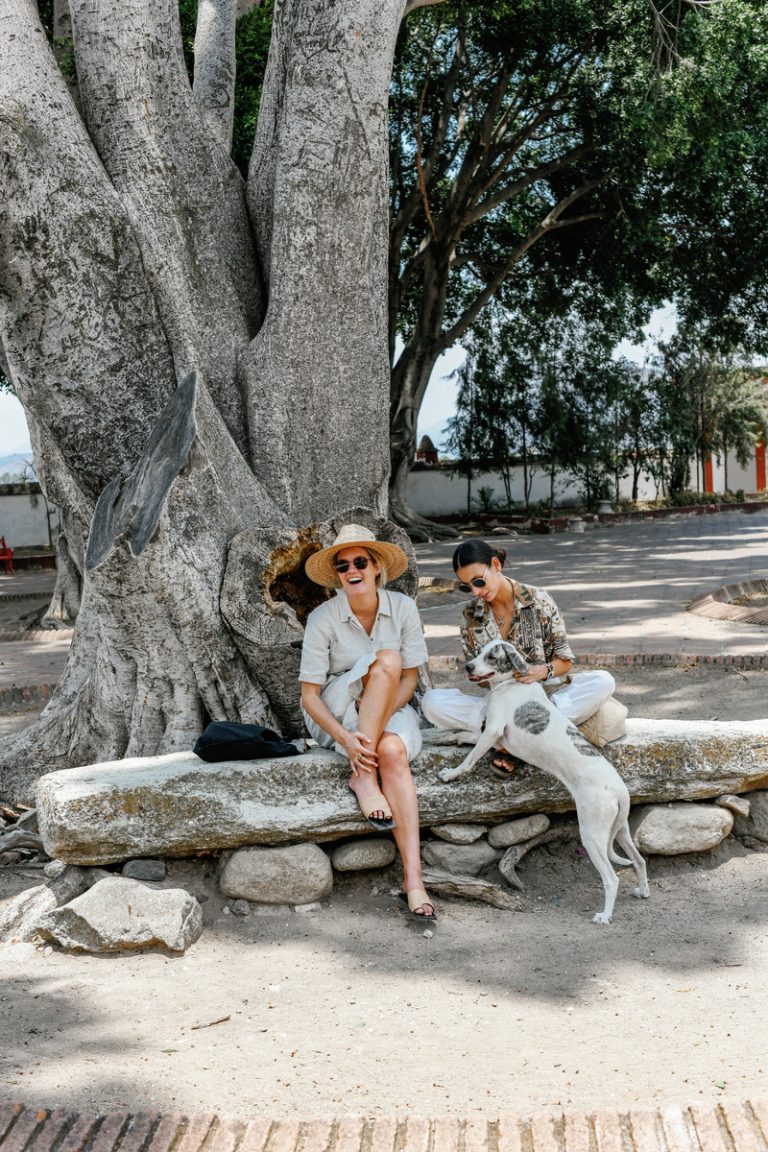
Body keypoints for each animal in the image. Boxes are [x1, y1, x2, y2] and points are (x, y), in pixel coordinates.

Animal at [437, 640, 649, 926]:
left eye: (492, 656)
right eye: (480, 651)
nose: (468, 666)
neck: (511, 683)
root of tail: (619, 790)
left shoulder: (492, 732)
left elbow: (469, 759)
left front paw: (451, 773)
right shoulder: (491, 735)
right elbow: (464, 734)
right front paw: (447, 737)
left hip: (592, 834)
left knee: (611, 878)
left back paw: (604, 916)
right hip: (620, 830)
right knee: (639, 860)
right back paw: (643, 891)